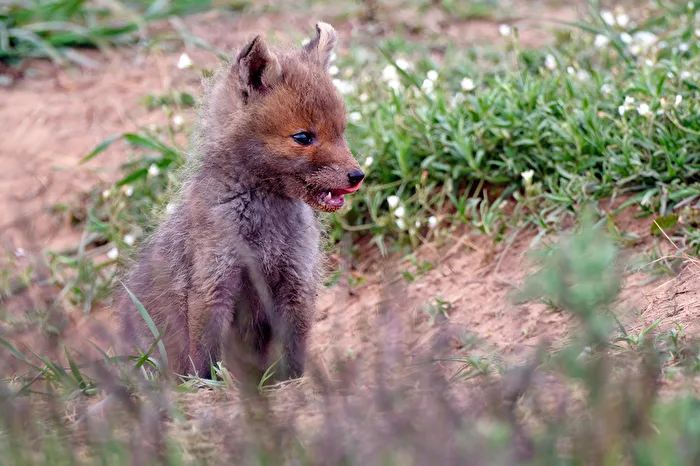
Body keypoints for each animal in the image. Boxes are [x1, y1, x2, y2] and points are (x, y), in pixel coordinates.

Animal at [114, 22, 364, 383]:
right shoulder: (213, 283)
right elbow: (205, 359)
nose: (357, 175)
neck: (266, 227)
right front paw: (208, 388)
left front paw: (292, 384)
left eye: (341, 131)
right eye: (303, 137)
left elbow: (291, 358)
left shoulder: (297, 282)